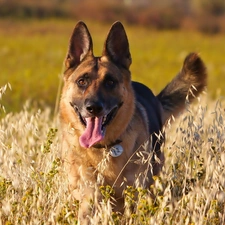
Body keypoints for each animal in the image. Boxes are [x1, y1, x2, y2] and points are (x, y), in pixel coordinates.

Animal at [59, 20, 206, 221]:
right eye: (82, 81)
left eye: (110, 82)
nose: (93, 107)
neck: (105, 148)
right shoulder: (90, 195)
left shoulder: (135, 192)